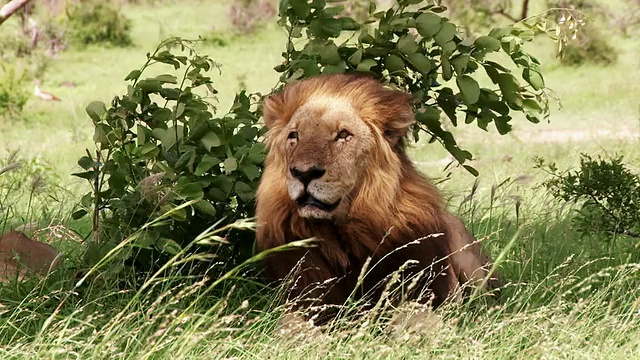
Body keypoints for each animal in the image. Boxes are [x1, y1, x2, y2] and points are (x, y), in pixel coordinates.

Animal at [255, 73, 500, 324]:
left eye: (343, 135)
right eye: (294, 136)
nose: (303, 173)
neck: (345, 236)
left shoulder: (424, 293)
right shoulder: (302, 299)